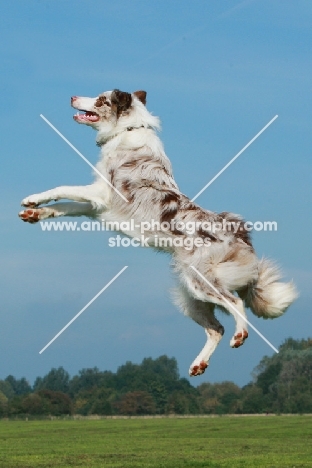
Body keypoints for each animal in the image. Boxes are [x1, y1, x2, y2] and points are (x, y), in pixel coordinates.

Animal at [18, 88, 298, 376]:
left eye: (100, 99)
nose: (72, 97)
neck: (126, 131)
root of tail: (239, 234)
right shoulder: (97, 207)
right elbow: (64, 206)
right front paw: (36, 213)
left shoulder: (101, 193)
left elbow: (61, 188)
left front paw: (33, 199)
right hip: (189, 296)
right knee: (216, 328)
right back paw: (199, 363)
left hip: (202, 283)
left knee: (235, 303)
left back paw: (240, 335)